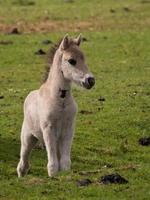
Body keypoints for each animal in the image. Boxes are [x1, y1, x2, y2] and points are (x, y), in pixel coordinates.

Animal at [16, 34, 95, 177]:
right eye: (71, 61)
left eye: (84, 58)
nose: (90, 80)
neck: (60, 100)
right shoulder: (49, 129)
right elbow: (52, 159)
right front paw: (52, 175)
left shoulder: (69, 129)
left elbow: (64, 161)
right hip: (27, 137)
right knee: (23, 159)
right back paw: (21, 174)